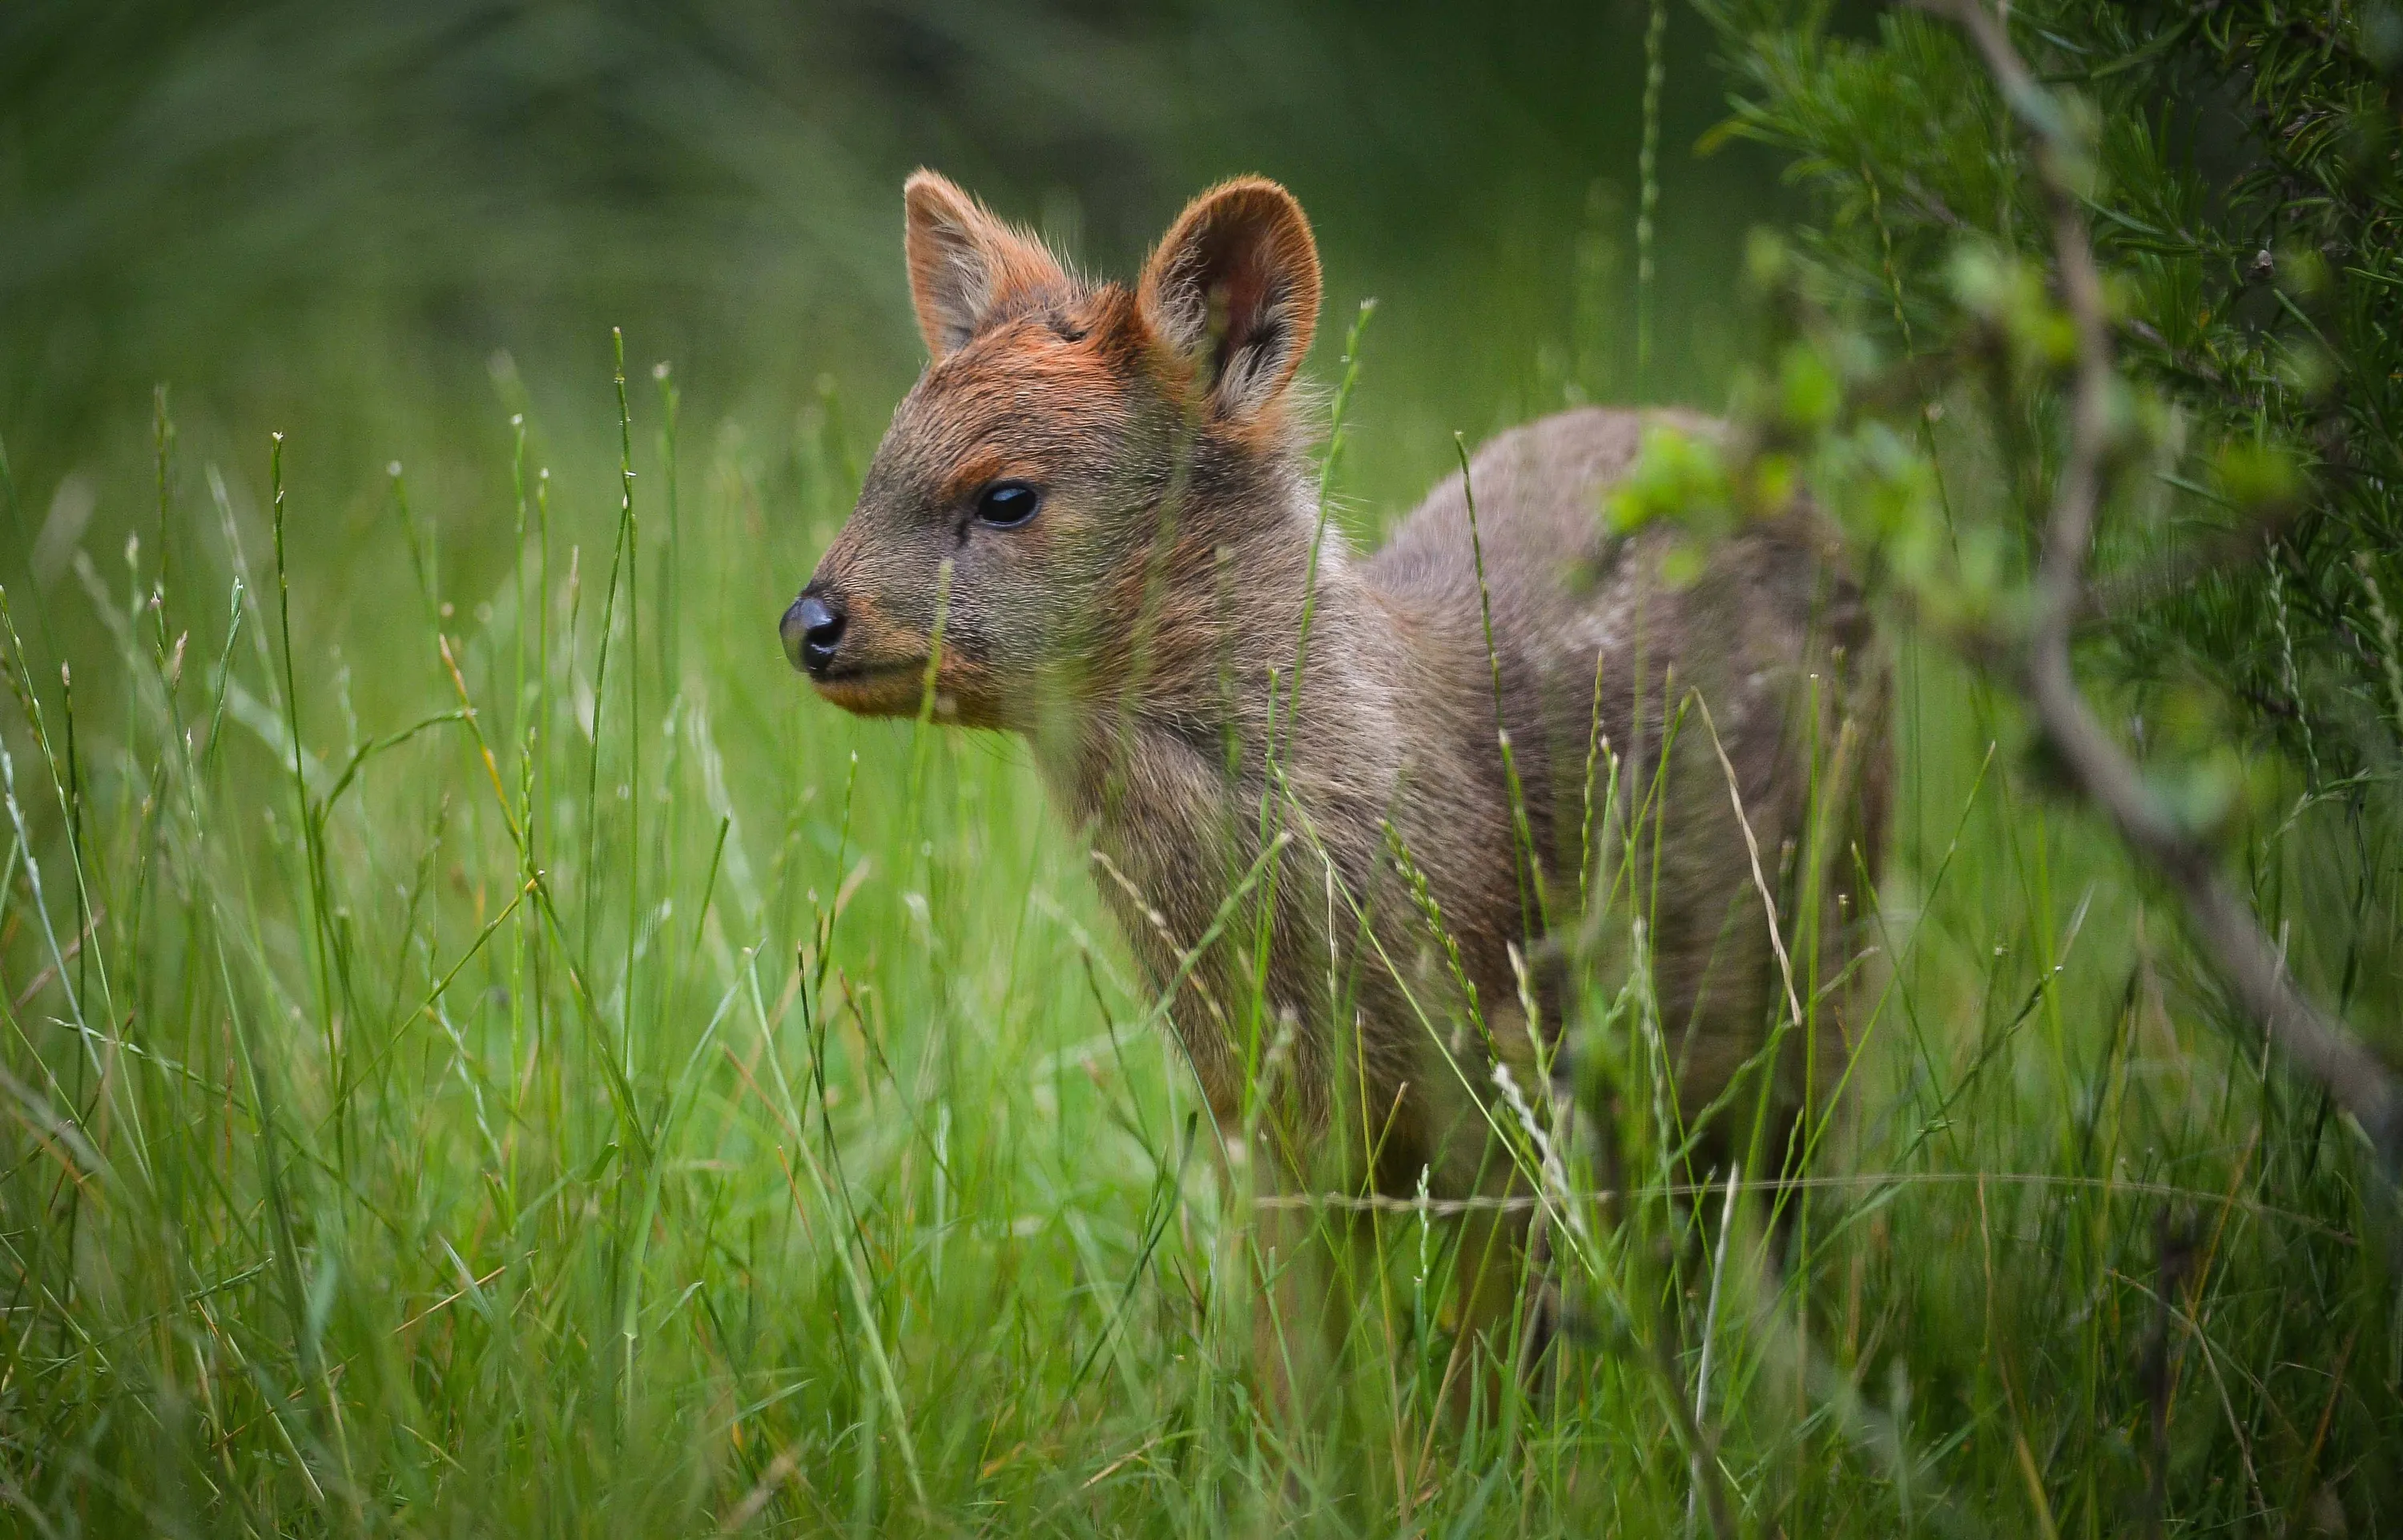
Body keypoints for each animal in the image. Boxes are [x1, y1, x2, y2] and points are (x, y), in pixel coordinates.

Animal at [779, 174, 1884, 1403]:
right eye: (879, 463)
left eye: (1008, 495)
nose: (809, 623)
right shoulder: (1269, 1135)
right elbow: (1307, 1379)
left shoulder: (1501, 1088)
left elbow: (1477, 1376)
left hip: (1822, 953)